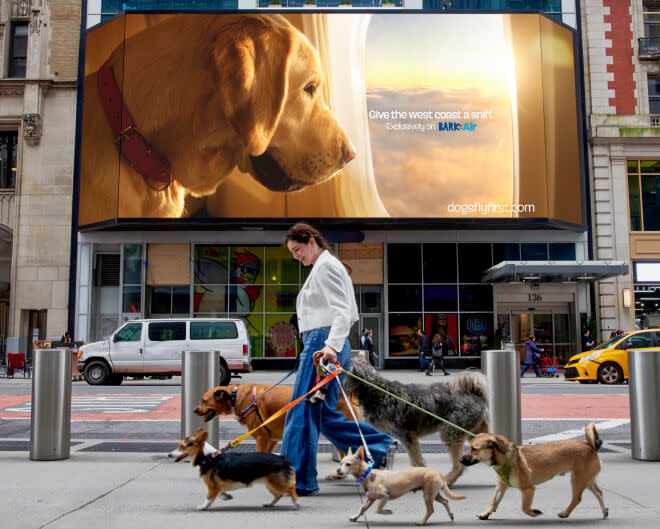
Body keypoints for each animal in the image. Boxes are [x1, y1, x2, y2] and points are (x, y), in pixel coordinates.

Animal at [338, 446, 466, 524]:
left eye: (348, 464)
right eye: (340, 463)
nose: (338, 471)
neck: (368, 475)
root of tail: (437, 472)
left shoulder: (385, 496)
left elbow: (378, 510)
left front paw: (387, 512)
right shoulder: (370, 499)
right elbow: (362, 509)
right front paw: (355, 517)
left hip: (428, 495)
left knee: (431, 510)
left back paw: (422, 522)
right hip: (434, 494)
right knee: (445, 501)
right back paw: (451, 515)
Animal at [346, 358, 490, 486]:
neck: (374, 390)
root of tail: (475, 393)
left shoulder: (406, 435)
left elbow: (416, 459)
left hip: (451, 432)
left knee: (459, 466)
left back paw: (447, 481)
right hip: (474, 432)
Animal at [458, 424, 608, 520]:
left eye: (474, 449)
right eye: (469, 447)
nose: (460, 459)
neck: (507, 458)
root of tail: (590, 446)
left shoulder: (528, 489)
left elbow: (524, 507)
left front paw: (534, 513)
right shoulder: (501, 486)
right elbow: (493, 501)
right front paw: (486, 514)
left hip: (577, 479)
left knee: (577, 498)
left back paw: (565, 513)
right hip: (587, 479)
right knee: (599, 492)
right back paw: (604, 511)